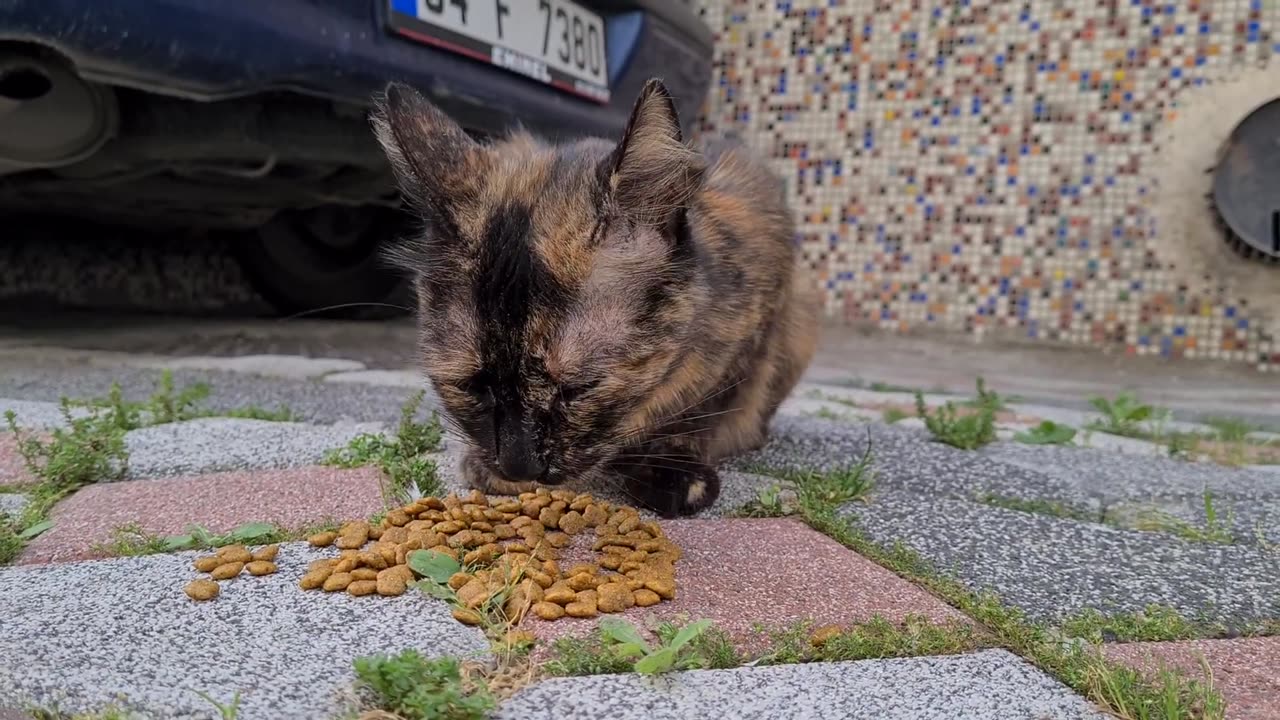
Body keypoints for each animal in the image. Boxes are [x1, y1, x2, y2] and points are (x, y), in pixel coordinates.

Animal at [371, 78, 819, 515]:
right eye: (470, 386)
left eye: (581, 388)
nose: (520, 465)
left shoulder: (756, 327)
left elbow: (705, 404)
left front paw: (673, 467)